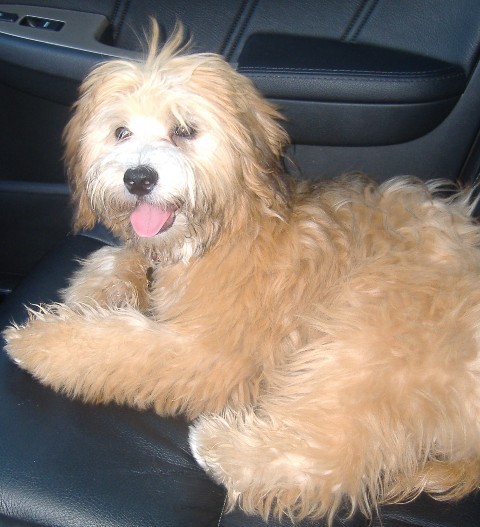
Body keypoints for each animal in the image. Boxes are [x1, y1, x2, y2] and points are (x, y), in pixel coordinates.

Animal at [3, 22, 480, 524]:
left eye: (184, 130)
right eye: (120, 132)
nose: (138, 178)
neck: (230, 223)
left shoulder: (214, 352)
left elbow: (124, 343)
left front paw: (45, 340)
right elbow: (115, 259)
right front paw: (94, 293)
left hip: (374, 329)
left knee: (333, 459)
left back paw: (222, 447)